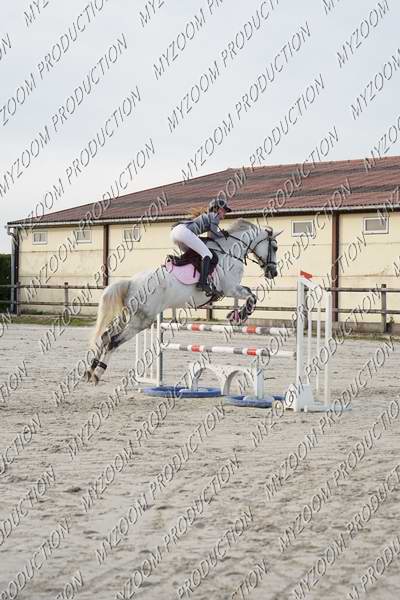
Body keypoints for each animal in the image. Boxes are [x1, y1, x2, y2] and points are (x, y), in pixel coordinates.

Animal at [86, 219, 280, 383]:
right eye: (275, 247)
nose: (273, 272)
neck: (230, 252)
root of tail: (131, 282)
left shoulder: (232, 288)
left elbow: (251, 294)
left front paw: (237, 314)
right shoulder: (231, 288)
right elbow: (251, 296)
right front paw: (239, 315)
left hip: (127, 315)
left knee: (105, 335)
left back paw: (90, 369)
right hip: (141, 320)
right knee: (113, 341)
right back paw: (98, 373)